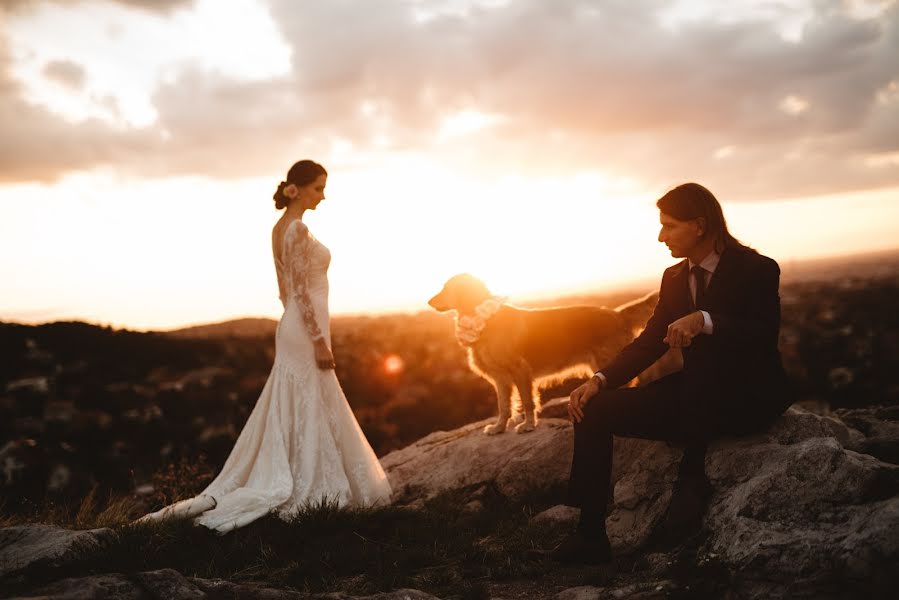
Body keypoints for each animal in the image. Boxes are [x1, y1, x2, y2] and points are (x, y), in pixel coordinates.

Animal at [428, 274, 660, 434]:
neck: (485, 321)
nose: (429, 302)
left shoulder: (520, 370)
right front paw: (499, 427)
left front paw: (528, 425)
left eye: (446, 288)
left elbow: (527, 401)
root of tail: (617, 314)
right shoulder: (500, 378)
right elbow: (504, 406)